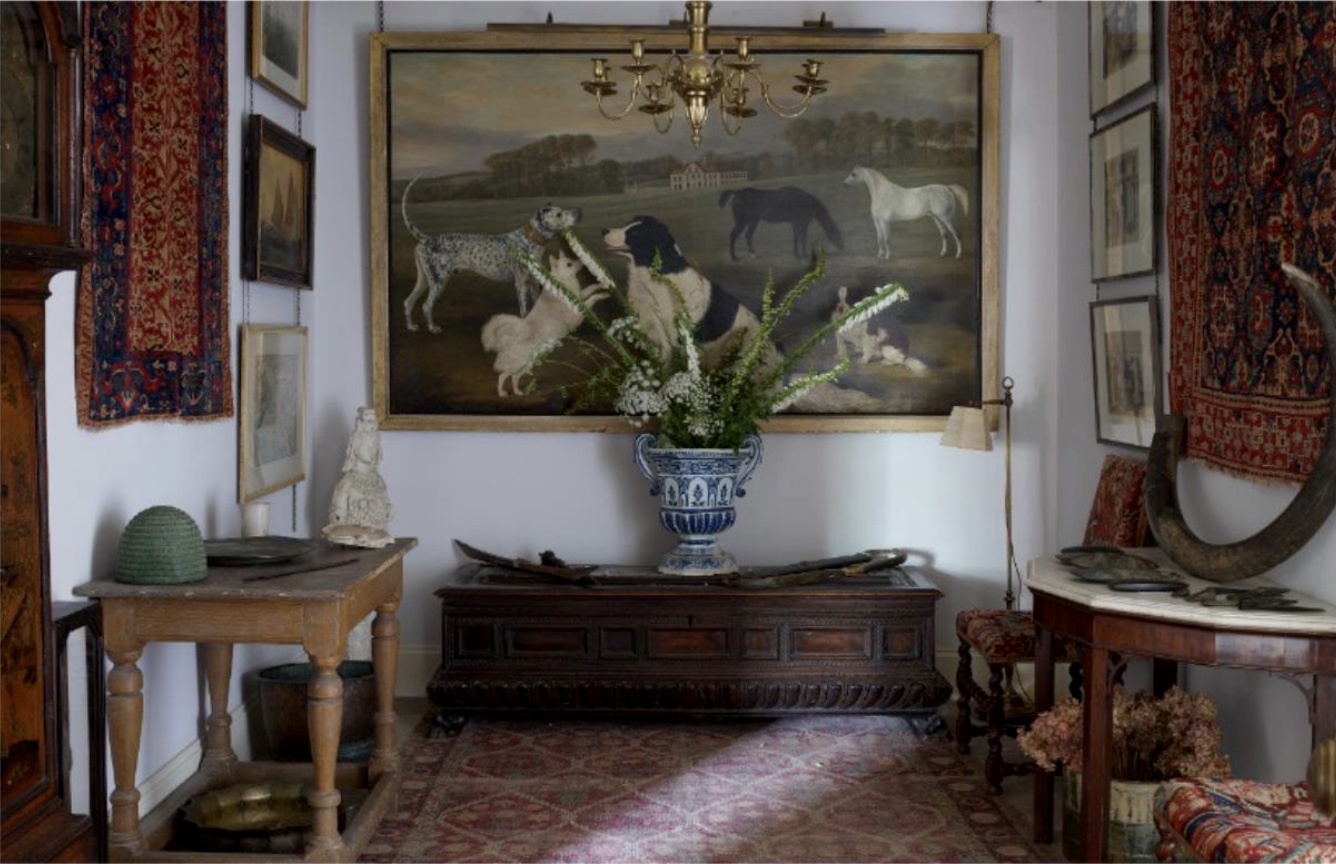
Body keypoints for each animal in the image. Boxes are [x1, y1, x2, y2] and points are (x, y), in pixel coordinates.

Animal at [398, 176, 582, 335]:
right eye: (558, 214)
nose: (579, 212)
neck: (530, 239)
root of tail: (426, 239)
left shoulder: (534, 283)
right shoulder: (521, 284)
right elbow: (525, 311)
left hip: (424, 280)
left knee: (408, 301)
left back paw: (411, 326)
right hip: (438, 281)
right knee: (426, 305)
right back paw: (432, 328)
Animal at [480, 252, 606, 397]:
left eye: (572, 259)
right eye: (569, 264)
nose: (581, 261)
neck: (562, 283)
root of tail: (512, 337)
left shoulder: (580, 295)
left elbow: (590, 289)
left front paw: (602, 285)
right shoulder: (578, 311)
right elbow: (592, 298)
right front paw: (602, 295)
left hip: (527, 365)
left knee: (514, 377)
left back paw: (517, 391)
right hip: (517, 364)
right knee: (502, 376)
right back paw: (502, 392)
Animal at [844, 165, 972, 259]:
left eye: (854, 174)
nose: (844, 184)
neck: (882, 194)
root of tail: (947, 188)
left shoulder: (884, 222)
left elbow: (886, 239)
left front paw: (887, 256)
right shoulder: (877, 222)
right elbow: (879, 239)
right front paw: (880, 255)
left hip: (946, 217)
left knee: (957, 233)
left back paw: (958, 255)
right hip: (936, 217)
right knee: (945, 234)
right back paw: (942, 254)